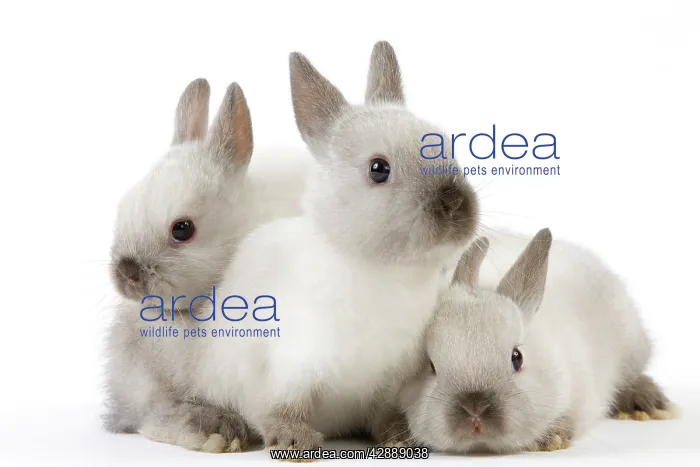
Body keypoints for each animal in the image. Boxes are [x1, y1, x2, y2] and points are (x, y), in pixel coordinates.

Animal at [171, 41, 481, 453]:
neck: (384, 272)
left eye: (447, 148)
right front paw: (294, 441)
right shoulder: (292, 365)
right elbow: (283, 407)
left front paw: (399, 436)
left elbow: (382, 412)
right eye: (378, 169)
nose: (454, 205)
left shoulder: (389, 380)